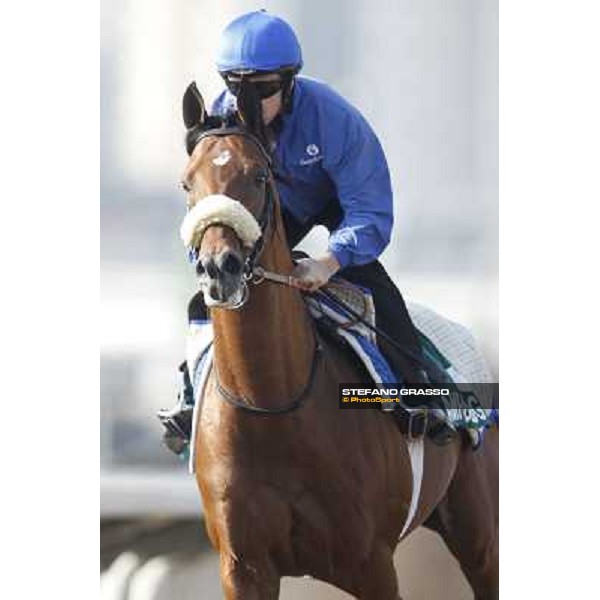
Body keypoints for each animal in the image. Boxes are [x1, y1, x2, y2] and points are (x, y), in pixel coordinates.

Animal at [180, 85, 500, 600]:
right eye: (188, 183)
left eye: (259, 176)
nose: (218, 268)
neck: (273, 406)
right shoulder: (244, 568)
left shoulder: (371, 564)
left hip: (479, 531)